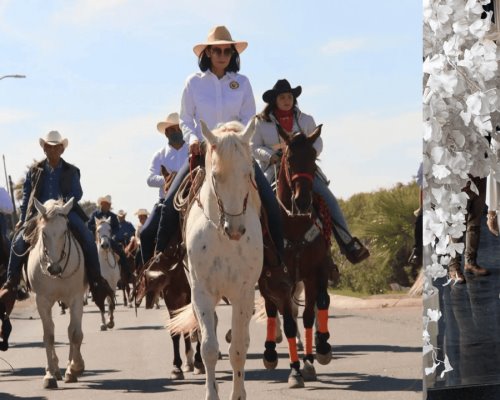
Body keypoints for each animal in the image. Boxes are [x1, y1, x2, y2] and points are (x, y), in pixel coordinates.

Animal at [26, 198, 86, 390]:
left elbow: (75, 333)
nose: (53, 269)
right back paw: (55, 369)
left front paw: (74, 368)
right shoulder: (42, 301)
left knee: (72, 332)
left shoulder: (76, 298)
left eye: (65, 231)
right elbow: (49, 336)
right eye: (44, 233)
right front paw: (50, 375)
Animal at [168, 119, 262, 400]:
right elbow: (208, 347)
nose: (236, 229)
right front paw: (212, 392)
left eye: (248, 173)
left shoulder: (244, 293)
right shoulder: (201, 293)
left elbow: (239, 349)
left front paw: (238, 394)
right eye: (216, 176)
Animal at [260, 126, 334, 388]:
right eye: (290, 159)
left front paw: (315, 356)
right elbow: (290, 322)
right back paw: (270, 353)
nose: (302, 201)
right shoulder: (279, 281)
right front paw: (294, 371)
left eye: (313, 157)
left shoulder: (316, 273)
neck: (294, 223)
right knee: (272, 310)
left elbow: (312, 313)